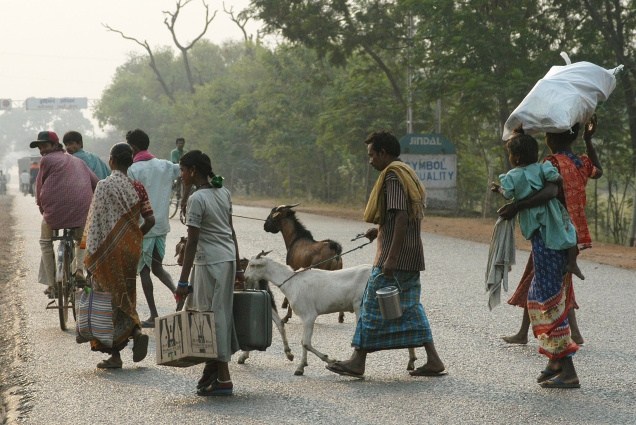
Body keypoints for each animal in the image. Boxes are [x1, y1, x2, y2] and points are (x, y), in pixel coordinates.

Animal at [243, 252, 418, 374]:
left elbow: (305, 342)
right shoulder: (306, 317)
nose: (244, 277)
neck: (292, 282)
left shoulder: (309, 315)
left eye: (252, 265)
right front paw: (302, 366)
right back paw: (411, 359)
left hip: (362, 304)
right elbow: (304, 342)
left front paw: (327, 360)